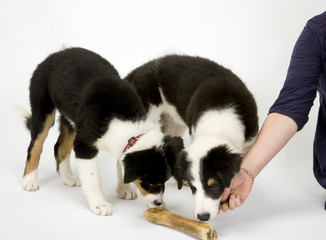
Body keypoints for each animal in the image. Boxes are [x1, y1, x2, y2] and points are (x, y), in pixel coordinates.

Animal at [21, 47, 182, 216]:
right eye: (150, 182)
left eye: (164, 181)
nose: (158, 203)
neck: (120, 119)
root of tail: (57, 53)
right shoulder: (84, 145)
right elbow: (93, 178)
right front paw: (99, 204)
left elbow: (120, 163)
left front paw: (124, 190)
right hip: (43, 109)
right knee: (35, 147)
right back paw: (30, 181)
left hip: (73, 121)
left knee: (60, 147)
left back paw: (68, 178)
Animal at [125, 54, 260, 221]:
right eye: (193, 187)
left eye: (214, 185)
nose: (202, 217)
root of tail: (137, 71)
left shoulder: (249, 143)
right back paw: (125, 190)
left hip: (174, 124)